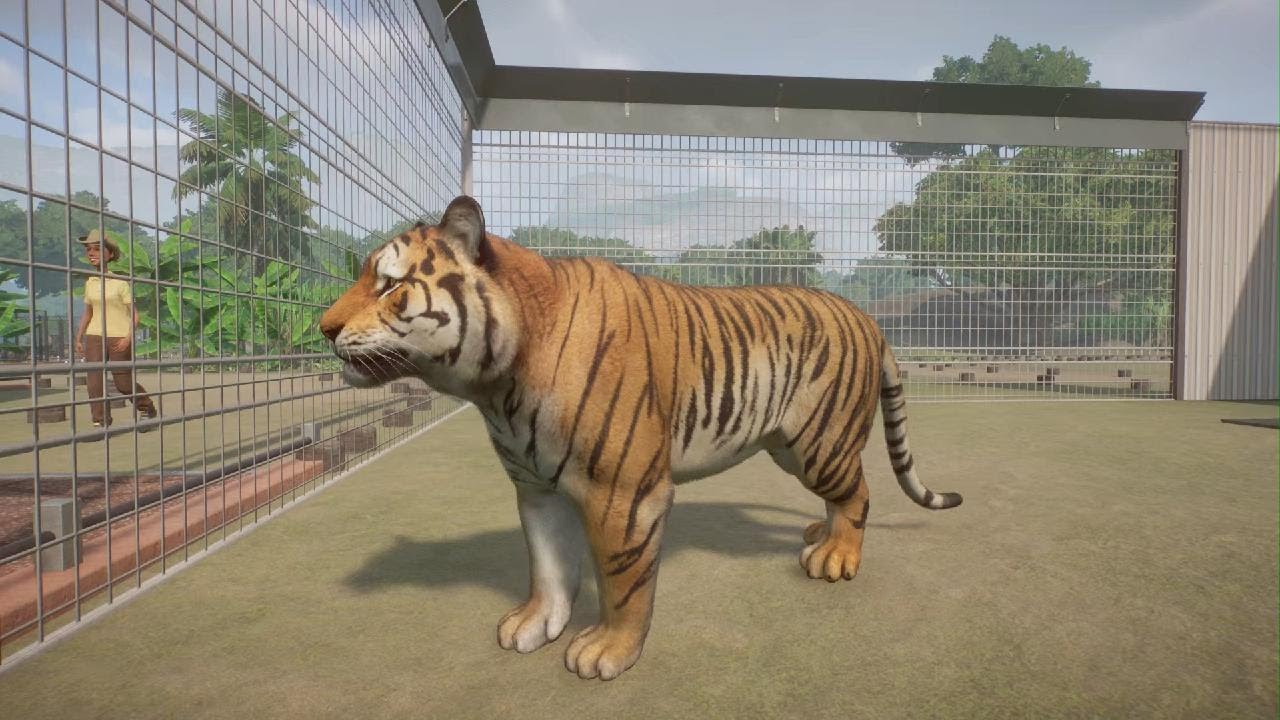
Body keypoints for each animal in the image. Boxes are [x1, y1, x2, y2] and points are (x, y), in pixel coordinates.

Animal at [319, 195, 963, 681]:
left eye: (389, 285)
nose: (323, 328)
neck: (496, 384)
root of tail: (868, 318)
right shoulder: (536, 489)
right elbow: (546, 566)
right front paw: (534, 624)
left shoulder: (622, 494)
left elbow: (622, 581)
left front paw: (606, 650)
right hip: (790, 445)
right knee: (843, 493)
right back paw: (818, 536)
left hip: (818, 443)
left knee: (858, 493)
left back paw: (835, 558)